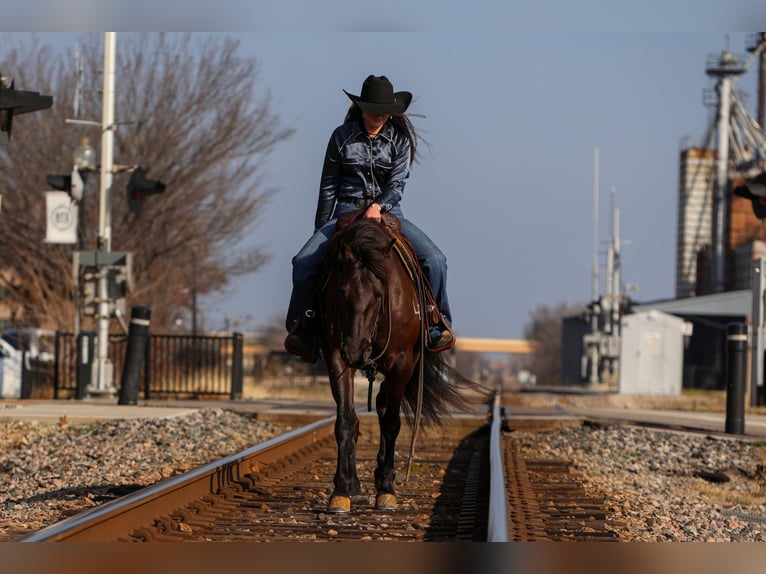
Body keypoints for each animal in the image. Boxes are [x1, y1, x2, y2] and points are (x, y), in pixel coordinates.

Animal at [320, 215, 492, 512]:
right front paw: (341, 491)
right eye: (341, 292)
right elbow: (345, 421)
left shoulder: (402, 364)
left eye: (379, 294)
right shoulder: (336, 357)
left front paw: (387, 489)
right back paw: (355, 486)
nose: (355, 351)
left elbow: (391, 423)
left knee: (383, 407)